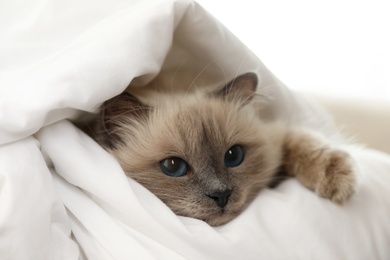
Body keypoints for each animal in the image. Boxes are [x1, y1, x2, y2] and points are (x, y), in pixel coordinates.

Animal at [93, 72, 356, 225]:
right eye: (173, 166)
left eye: (233, 156)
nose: (221, 195)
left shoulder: (277, 134)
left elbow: (302, 140)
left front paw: (337, 178)